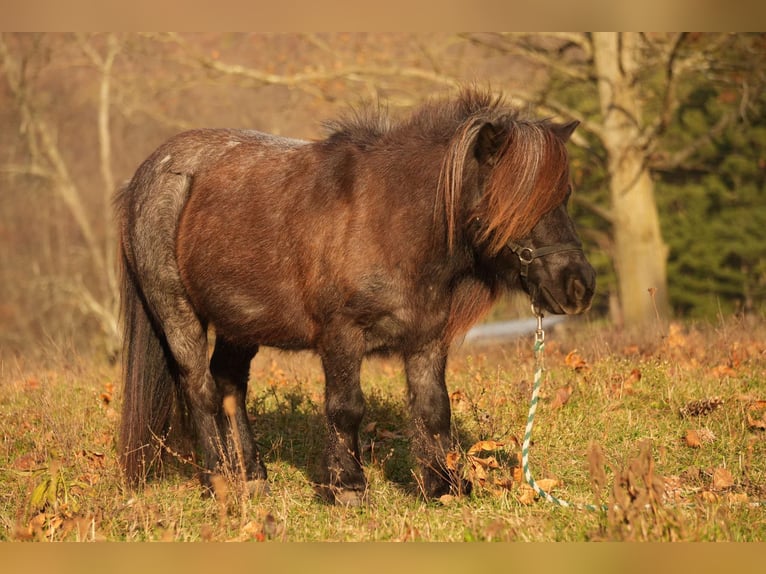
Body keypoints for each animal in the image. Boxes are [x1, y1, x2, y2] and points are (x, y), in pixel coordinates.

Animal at [114, 88, 596, 506]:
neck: (389, 220)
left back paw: (251, 476)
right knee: (201, 389)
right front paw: (347, 487)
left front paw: (444, 486)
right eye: (515, 203)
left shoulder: (426, 340)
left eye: (564, 196)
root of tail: (148, 175)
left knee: (230, 383)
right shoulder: (341, 336)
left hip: (240, 320)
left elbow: (433, 410)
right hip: (177, 313)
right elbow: (346, 408)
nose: (580, 285)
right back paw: (220, 482)